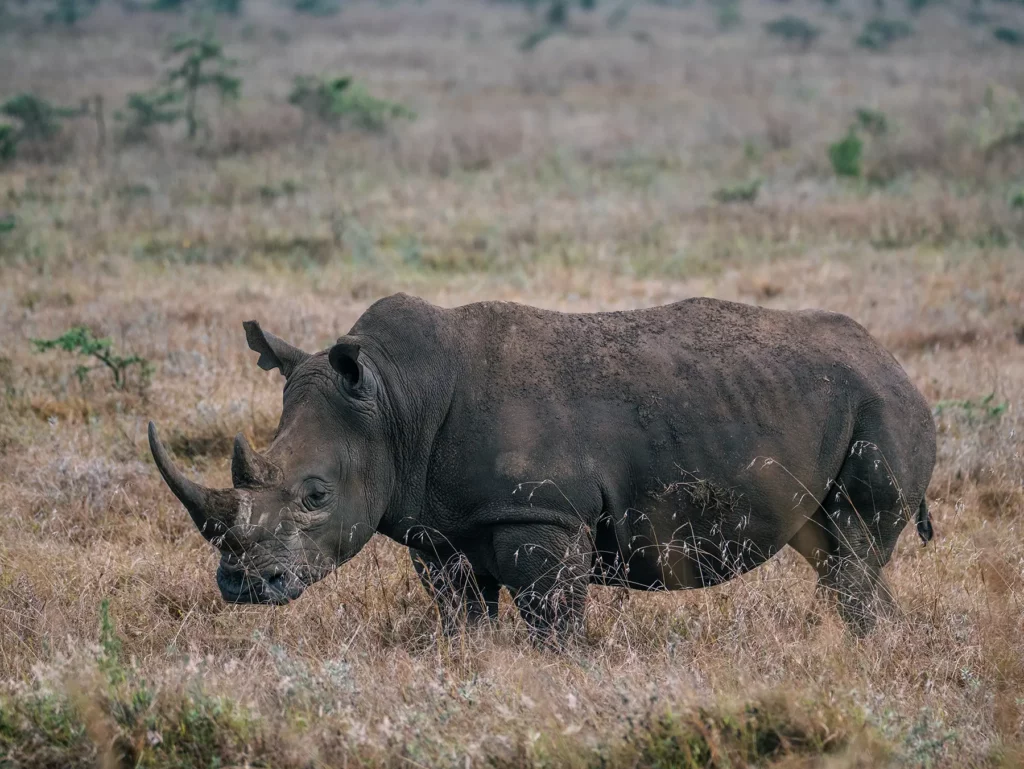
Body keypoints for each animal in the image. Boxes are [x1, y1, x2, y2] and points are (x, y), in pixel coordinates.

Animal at [149, 294, 936, 639]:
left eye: (315, 494)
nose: (243, 586)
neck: (396, 402)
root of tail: (895, 362)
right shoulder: (442, 526)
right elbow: (462, 611)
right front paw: (466, 658)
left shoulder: (542, 513)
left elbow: (551, 615)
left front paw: (565, 668)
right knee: (835, 554)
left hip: (881, 406)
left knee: (853, 550)